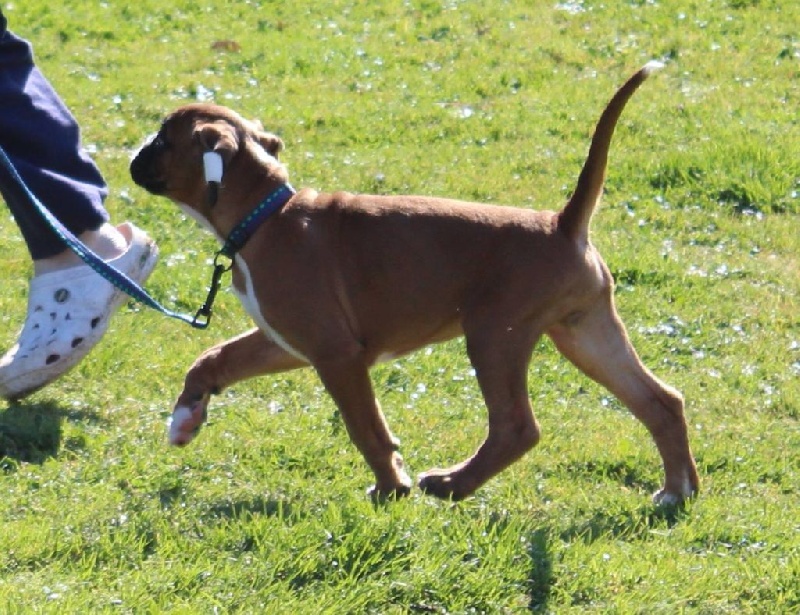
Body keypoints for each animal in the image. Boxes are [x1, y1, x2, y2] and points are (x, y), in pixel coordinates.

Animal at [128, 61, 696, 506]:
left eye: (163, 138)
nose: (133, 154)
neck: (266, 213)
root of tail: (562, 223)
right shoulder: (283, 341)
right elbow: (212, 359)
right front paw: (186, 418)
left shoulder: (336, 354)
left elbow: (367, 428)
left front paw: (390, 487)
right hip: (585, 333)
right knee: (661, 402)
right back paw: (676, 492)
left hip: (495, 336)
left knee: (516, 426)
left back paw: (450, 485)